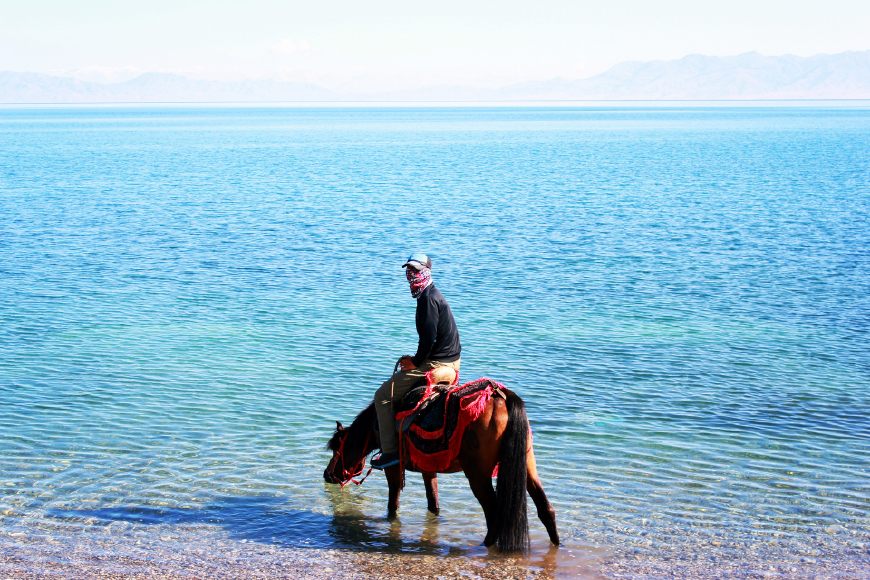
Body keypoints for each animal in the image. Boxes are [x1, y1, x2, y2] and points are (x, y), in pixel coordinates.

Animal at [324, 380, 564, 552]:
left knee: (494, 513)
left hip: (478, 475)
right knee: (546, 509)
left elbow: (393, 503)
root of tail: (503, 397)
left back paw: (484, 546)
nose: (328, 475)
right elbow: (434, 504)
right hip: (528, 467)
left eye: (337, 449)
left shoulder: (393, 467)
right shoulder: (428, 467)